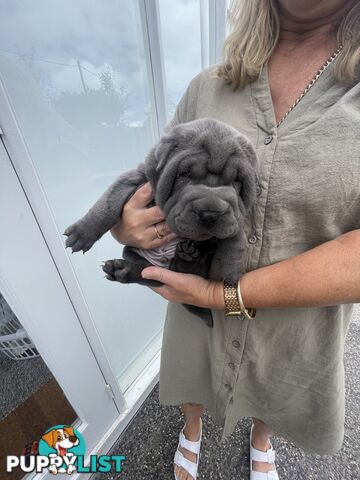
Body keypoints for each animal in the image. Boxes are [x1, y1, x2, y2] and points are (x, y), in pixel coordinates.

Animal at [64, 117, 256, 326]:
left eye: (236, 180)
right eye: (184, 174)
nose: (209, 214)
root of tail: (165, 264)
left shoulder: (234, 213)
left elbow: (236, 236)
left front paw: (232, 270)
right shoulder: (134, 178)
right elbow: (108, 204)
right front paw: (82, 233)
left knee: (183, 272)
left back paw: (187, 254)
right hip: (132, 253)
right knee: (149, 275)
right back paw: (122, 269)